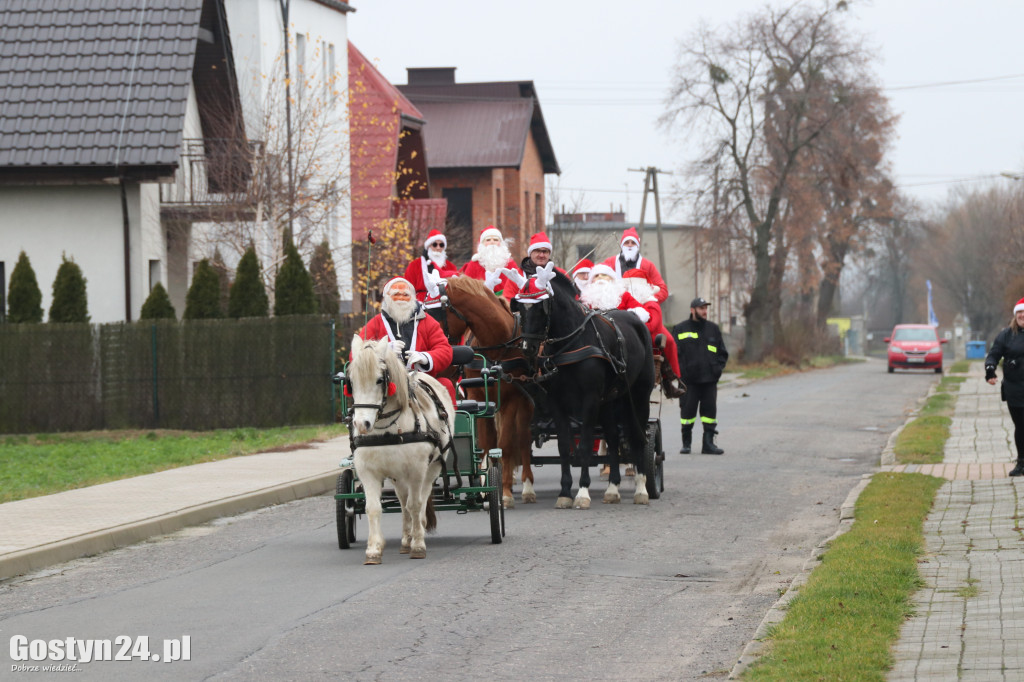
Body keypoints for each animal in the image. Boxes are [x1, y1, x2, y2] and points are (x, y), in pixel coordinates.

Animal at [348, 333, 452, 561]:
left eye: (380, 380)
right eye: (350, 382)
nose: (361, 424)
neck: (387, 430)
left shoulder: (416, 470)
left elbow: (416, 504)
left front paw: (418, 545)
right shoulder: (367, 471)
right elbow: (373, 507)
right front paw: (374, 549)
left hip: (432, 468)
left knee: (419, 499)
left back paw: (416, 532)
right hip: (397, 475)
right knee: (403, 502)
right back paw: (406, 539)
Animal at [440, 274, 536, 503]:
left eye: (438, 311)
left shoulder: (512, 400)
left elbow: (505, 445)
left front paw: (505, 491)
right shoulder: (478, 398)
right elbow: (485, 443)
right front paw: (485, 486)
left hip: (526, 404)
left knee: (524, 438)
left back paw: (527, 487)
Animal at [516, 262, 651, 507]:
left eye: (541, 308)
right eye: (521, 308)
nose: (527, 348)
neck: (572, 343)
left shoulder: (590, 400)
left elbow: (586, 444)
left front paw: (582, 492)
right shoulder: (557, 402)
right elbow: (564, 447)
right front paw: (564, 493)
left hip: (638, 395)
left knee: (638, 438)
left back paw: (641, 489)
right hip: (610, 401)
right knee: (613, 438)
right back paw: (613, 489)